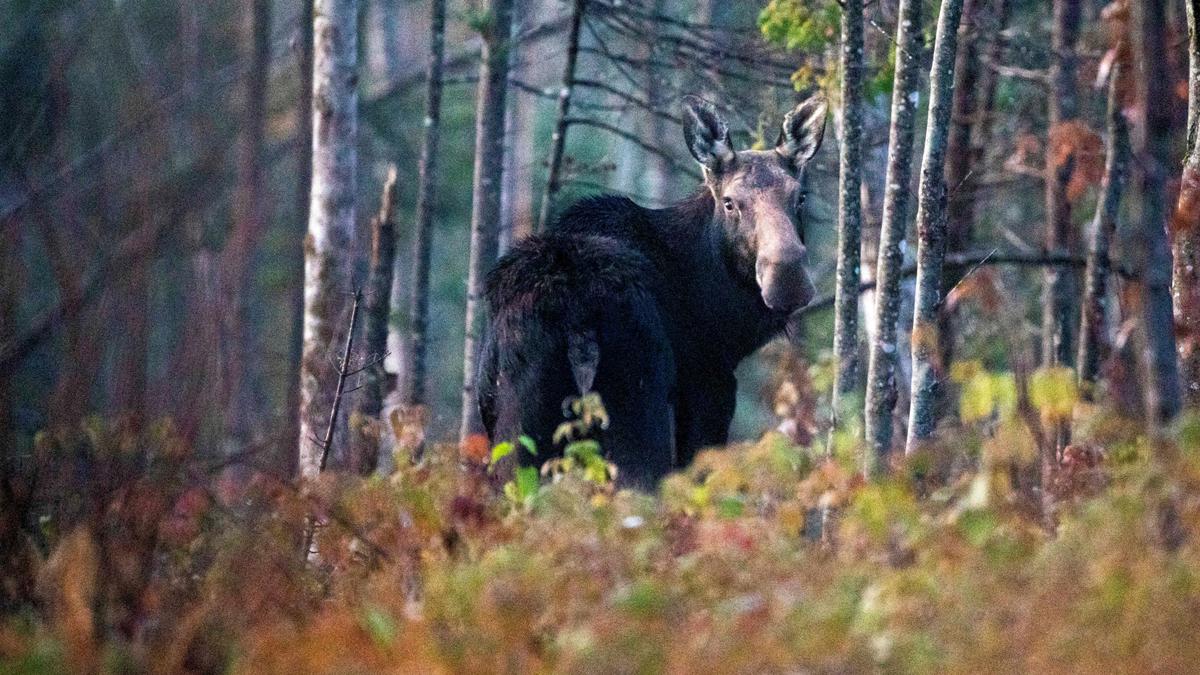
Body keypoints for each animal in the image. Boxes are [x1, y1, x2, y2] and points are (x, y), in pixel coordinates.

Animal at [475, 93, 825, 482]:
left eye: (801, 196)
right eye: (730, 202)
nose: (787, 278)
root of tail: (578, 319)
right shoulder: (710, 388)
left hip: (522, 437)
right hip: (637, 412)